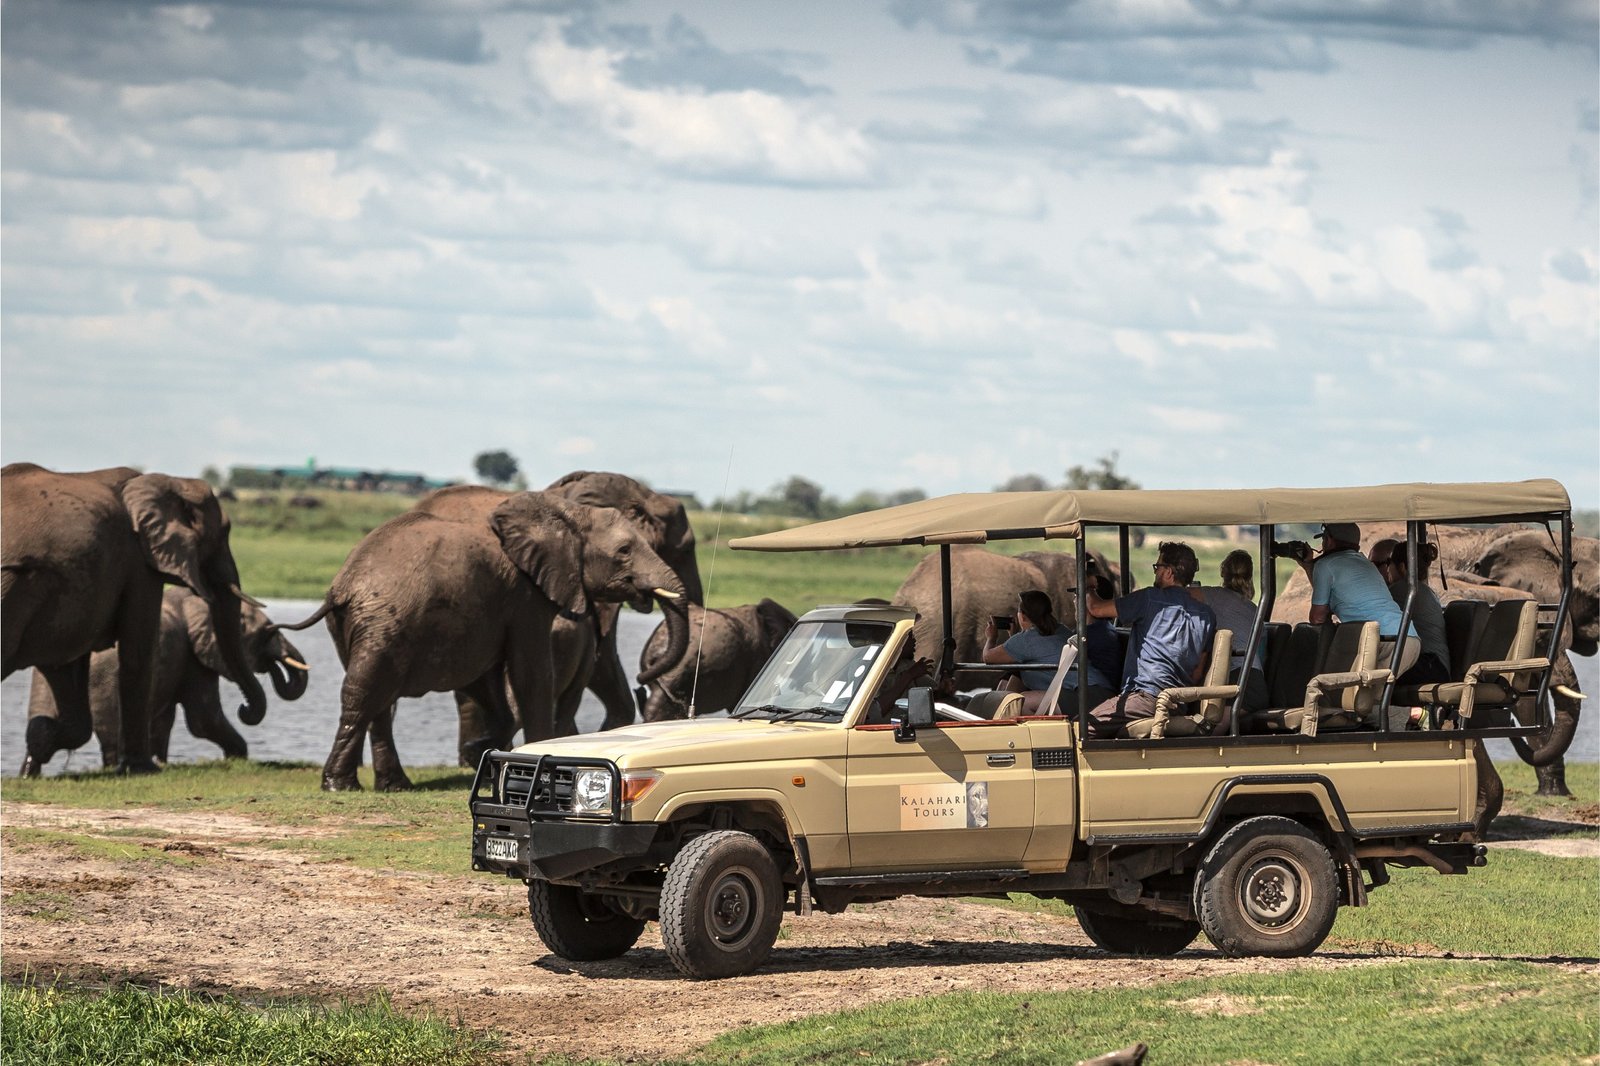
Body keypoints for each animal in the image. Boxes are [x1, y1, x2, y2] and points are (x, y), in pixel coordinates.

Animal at [3, 464, 266, 775]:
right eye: (223, 533)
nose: (244, 710)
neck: (168, 481)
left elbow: (65, 668)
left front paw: (40, 740)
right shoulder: (139, 562)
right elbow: (138, 653)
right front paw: (143, 769)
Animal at [25, 587, 310, 766]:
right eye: (266, 632)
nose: (243, 707)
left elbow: (166, 719)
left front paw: (161, 762)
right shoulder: (191, 656)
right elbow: (203, 718)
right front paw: (237, 758)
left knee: (42, 723)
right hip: (104, 680)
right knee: (110, 734)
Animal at [283, 491, 688, 791]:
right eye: (624, 552)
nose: (642, 679)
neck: (566, 514)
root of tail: (342, 587)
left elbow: (494, 681)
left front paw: (488, 752)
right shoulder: (525, 595)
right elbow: (530, 672)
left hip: (358, 625)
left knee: (378, 700)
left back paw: (392, 785)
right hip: (382, 620)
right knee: (365, 693)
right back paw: (341, 785)